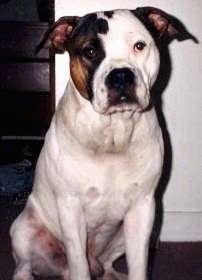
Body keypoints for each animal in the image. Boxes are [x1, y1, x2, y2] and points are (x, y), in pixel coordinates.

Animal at [9, 6, 194, 280]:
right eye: (90, 52)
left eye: (139, 45)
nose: (121, 76)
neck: (112, 135)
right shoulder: (71, 208)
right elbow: (79, 266)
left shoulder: (143, 208)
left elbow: (139, 267)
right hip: (23, 229)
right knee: (24, 266)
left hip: (141, 231)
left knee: (106, 265)